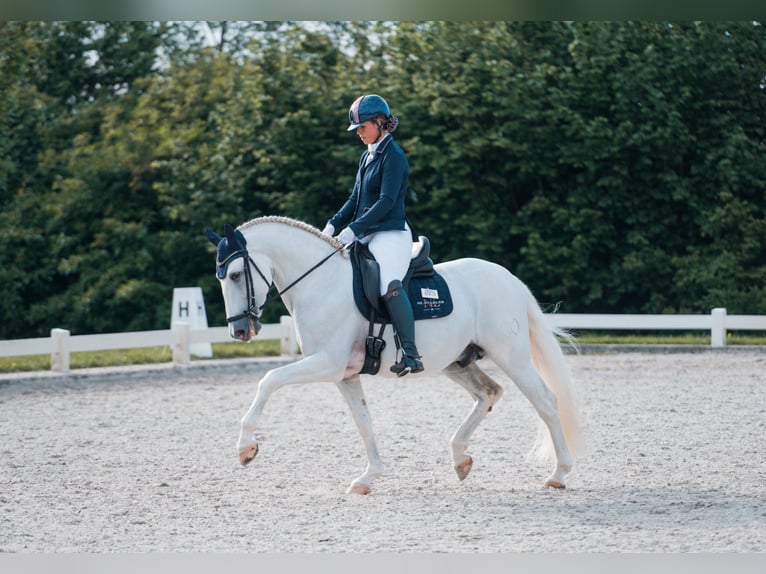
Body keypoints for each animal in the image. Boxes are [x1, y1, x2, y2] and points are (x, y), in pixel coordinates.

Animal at [207, 216, 584, 496]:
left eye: (237, 275)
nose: (239, 331)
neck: (320, 283)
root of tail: (508, 279)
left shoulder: (327, 363)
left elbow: (269, 379)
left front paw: (246, 447)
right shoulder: (345, 374)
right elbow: (364, 422)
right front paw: (368, 477)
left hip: (511, 356)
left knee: (546, 402)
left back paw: (559, 474)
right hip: (456, 361)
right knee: (489, 393)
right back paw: (460, 459)